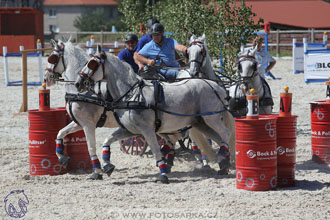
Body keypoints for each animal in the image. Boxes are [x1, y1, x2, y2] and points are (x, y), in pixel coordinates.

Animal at [43, 40, 118, 180]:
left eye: (52, 58)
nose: (46, 79)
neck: (82, 93)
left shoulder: (88, 125)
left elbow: (91, 147)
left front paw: (97, 172)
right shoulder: (79, 123)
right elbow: (60, 133)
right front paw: (62, 157)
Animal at [75, 46, 235, 184]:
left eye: (92, 64)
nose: (78, 83)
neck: (132, 95)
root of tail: (216, 86)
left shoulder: (147, 130)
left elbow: (156, 151)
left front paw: (162, 175)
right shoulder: (129, 130)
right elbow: (107, 140)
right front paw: (107, 166)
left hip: (211, 118)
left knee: (225, 133)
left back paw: (222, 158)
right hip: (200, 123)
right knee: (220, 138)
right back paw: (224, 164)